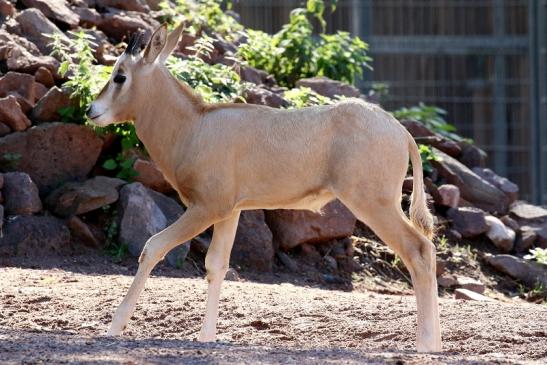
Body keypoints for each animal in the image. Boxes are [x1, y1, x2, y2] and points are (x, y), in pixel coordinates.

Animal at [88, 24, 444, 352]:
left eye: (119, 76)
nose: (92, 110)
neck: (194, 126)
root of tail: (400, 131)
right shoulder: (229, 212)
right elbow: (216, 265)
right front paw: (206, 337)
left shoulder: (206, 208)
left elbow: (152, 247)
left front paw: (114, 327)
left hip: (373, 203)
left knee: (419, 250)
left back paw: (427, 345)